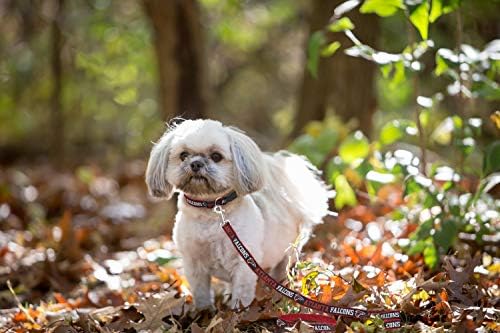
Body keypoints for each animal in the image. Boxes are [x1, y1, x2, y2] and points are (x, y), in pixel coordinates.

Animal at [146, 119, 332, 308]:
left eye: (216, 156)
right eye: (183, 155)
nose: (196, 164)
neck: (211, 211)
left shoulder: (244, 263)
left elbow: (241, 294)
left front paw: (238, 310)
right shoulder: (194, 264)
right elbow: (201, 292)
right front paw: (204, 310)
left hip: (288, 253)